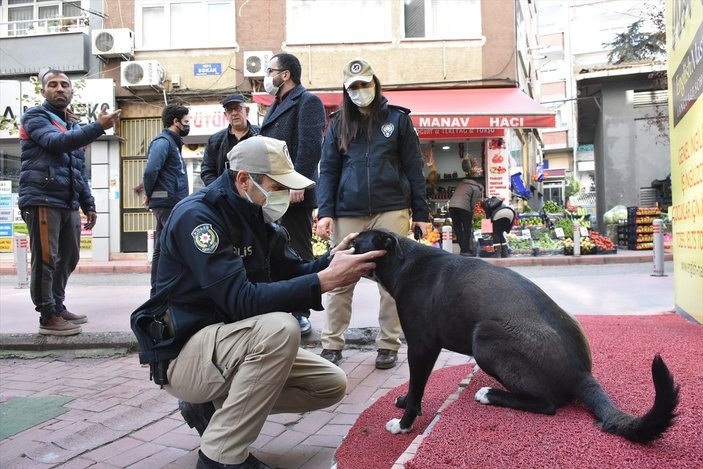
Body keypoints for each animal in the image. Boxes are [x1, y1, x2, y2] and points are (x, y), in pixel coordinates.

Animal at [352, 230, 680, 442]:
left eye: (354, 243)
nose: (338, 248)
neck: (404, 261)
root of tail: (582, 375)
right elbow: (414, 387)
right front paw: (405, 401)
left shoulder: (421, 346)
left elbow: (417, 385)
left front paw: (404, 424)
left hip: (484, 338)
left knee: (547, 404)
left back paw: (489, 394)